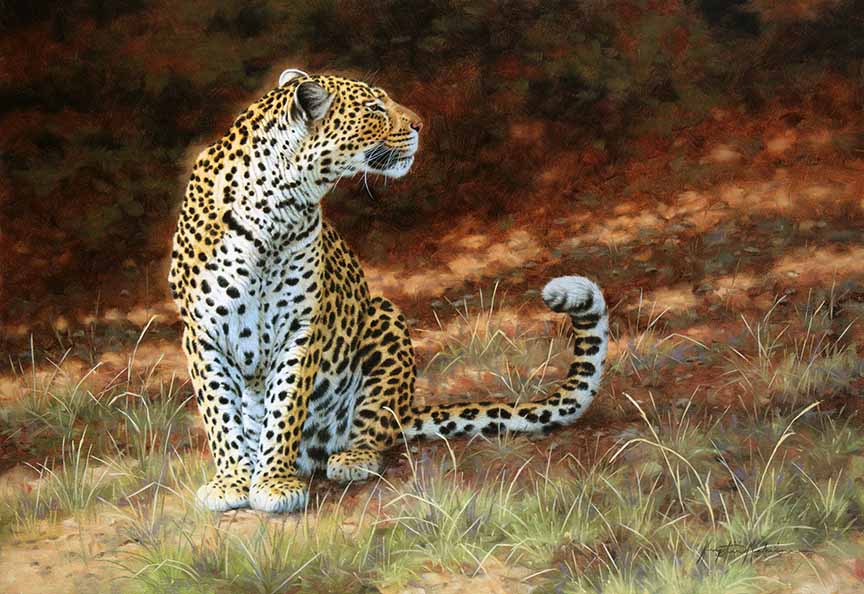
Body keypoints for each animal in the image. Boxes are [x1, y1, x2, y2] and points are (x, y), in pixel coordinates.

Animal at [168, 68, 609, 513]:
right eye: (373, 108)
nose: (419, 125)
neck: (280, 207)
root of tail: (404, 411)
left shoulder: (300, 327)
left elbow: (285, 406)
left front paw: (275, 482)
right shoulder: (202, 332)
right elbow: (220, 413)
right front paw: (231, 482)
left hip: (384, 319)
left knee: (372, 427)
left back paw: (350, 458)